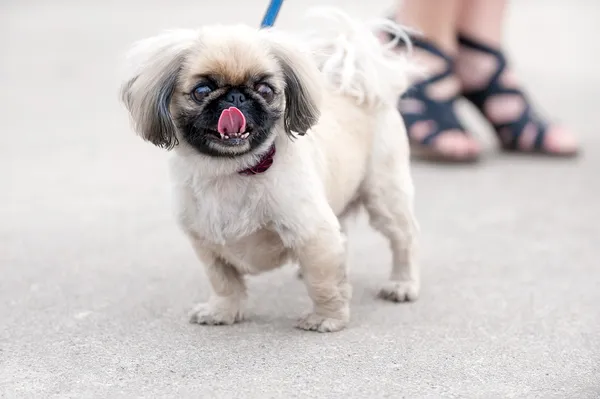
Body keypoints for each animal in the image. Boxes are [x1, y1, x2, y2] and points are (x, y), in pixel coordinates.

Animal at [120, 10, 422, 334]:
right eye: (202, 90)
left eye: (264, 89)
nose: (235, 98)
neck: (233, 171)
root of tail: (356, 87)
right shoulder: (207, 244)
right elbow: (224, 283)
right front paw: (223, 311)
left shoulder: (314, 233)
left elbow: (324, 284)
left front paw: (326, 317)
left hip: (384, 197)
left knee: (403, 240)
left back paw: (402, 284)